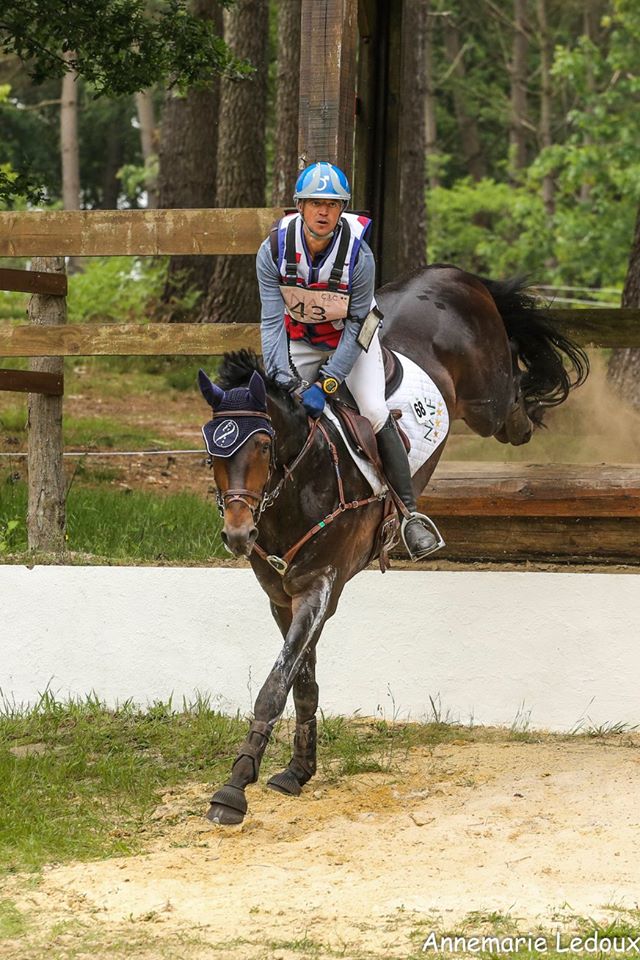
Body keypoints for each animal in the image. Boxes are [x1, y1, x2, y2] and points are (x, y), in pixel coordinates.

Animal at [198, 262, 588, 824]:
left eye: (265, 446)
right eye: (212, 450)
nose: (237, 534)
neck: (301, 480)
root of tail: (455, 274)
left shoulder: (321, 588)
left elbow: (275, 686)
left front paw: (234, 787)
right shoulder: (283, 597)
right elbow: (302, 683)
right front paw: (298, 771)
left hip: (486, 400)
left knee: (509, 395)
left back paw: (528, 413)